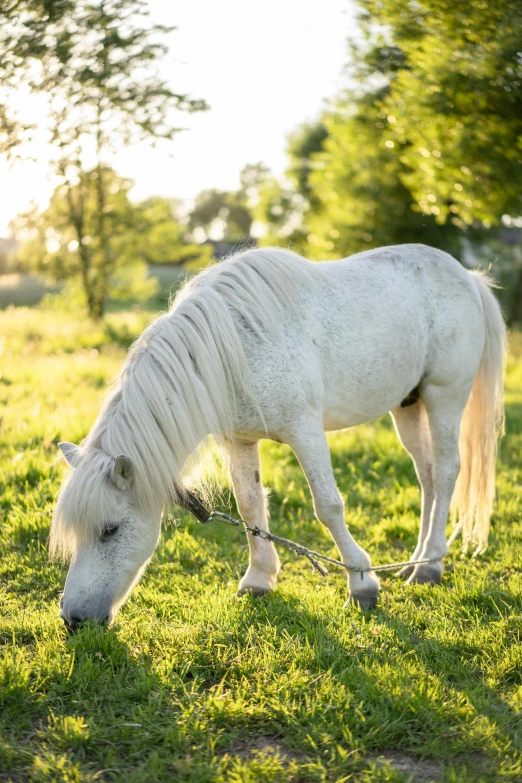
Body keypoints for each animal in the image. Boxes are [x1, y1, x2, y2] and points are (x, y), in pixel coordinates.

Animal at [52, 242, 504, 628]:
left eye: (110, 530)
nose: (74, 619)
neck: (232, 348)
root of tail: (467, 276)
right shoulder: (239, 440)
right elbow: (250, 506)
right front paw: (259, 580)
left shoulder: (306, 432)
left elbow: (328, 507)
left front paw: (361, 583)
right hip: (408, 406)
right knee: (427, 477)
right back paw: (415, 560)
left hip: (445, 397)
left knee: (446, 472)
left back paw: (430, 566)